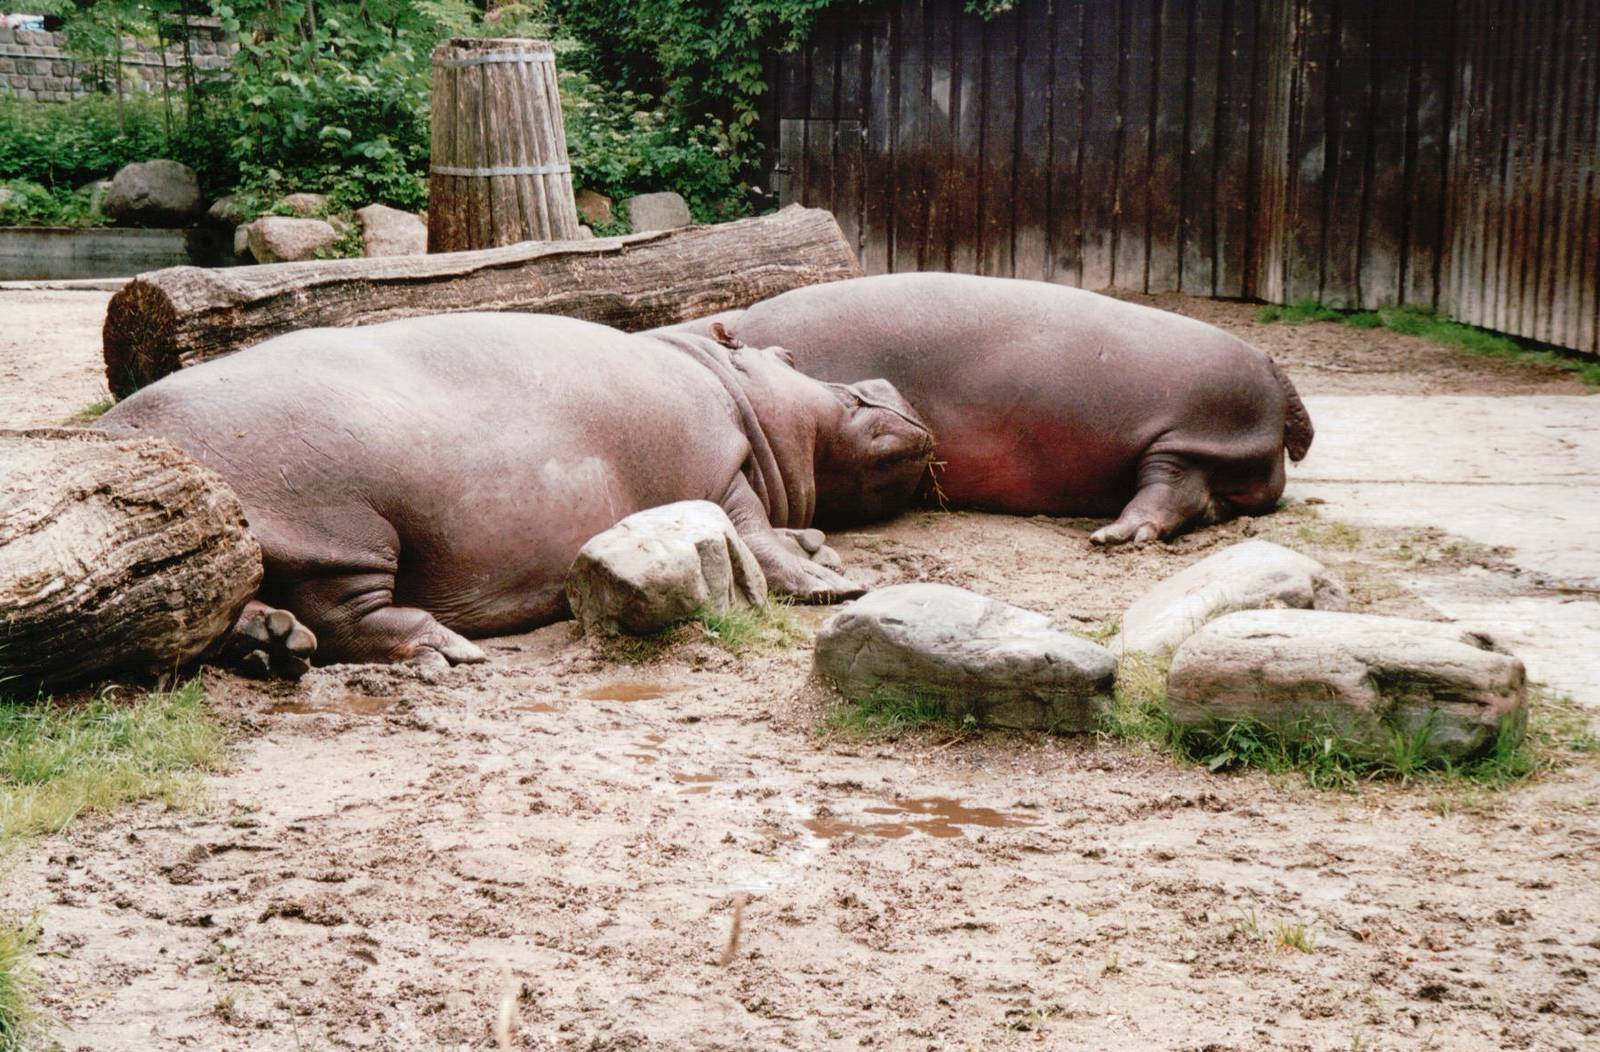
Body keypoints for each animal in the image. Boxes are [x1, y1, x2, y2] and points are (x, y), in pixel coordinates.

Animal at [96, 312, 933, 676]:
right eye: (788, 354)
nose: (888, 383)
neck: (725, 382)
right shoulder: (720, 469)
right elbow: (755, 534)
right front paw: (835, 582)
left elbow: (775, 535)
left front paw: (819, 548)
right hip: (345, 531)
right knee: (348, 615)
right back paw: (446, 648)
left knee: (245, 615)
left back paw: (272, 646)